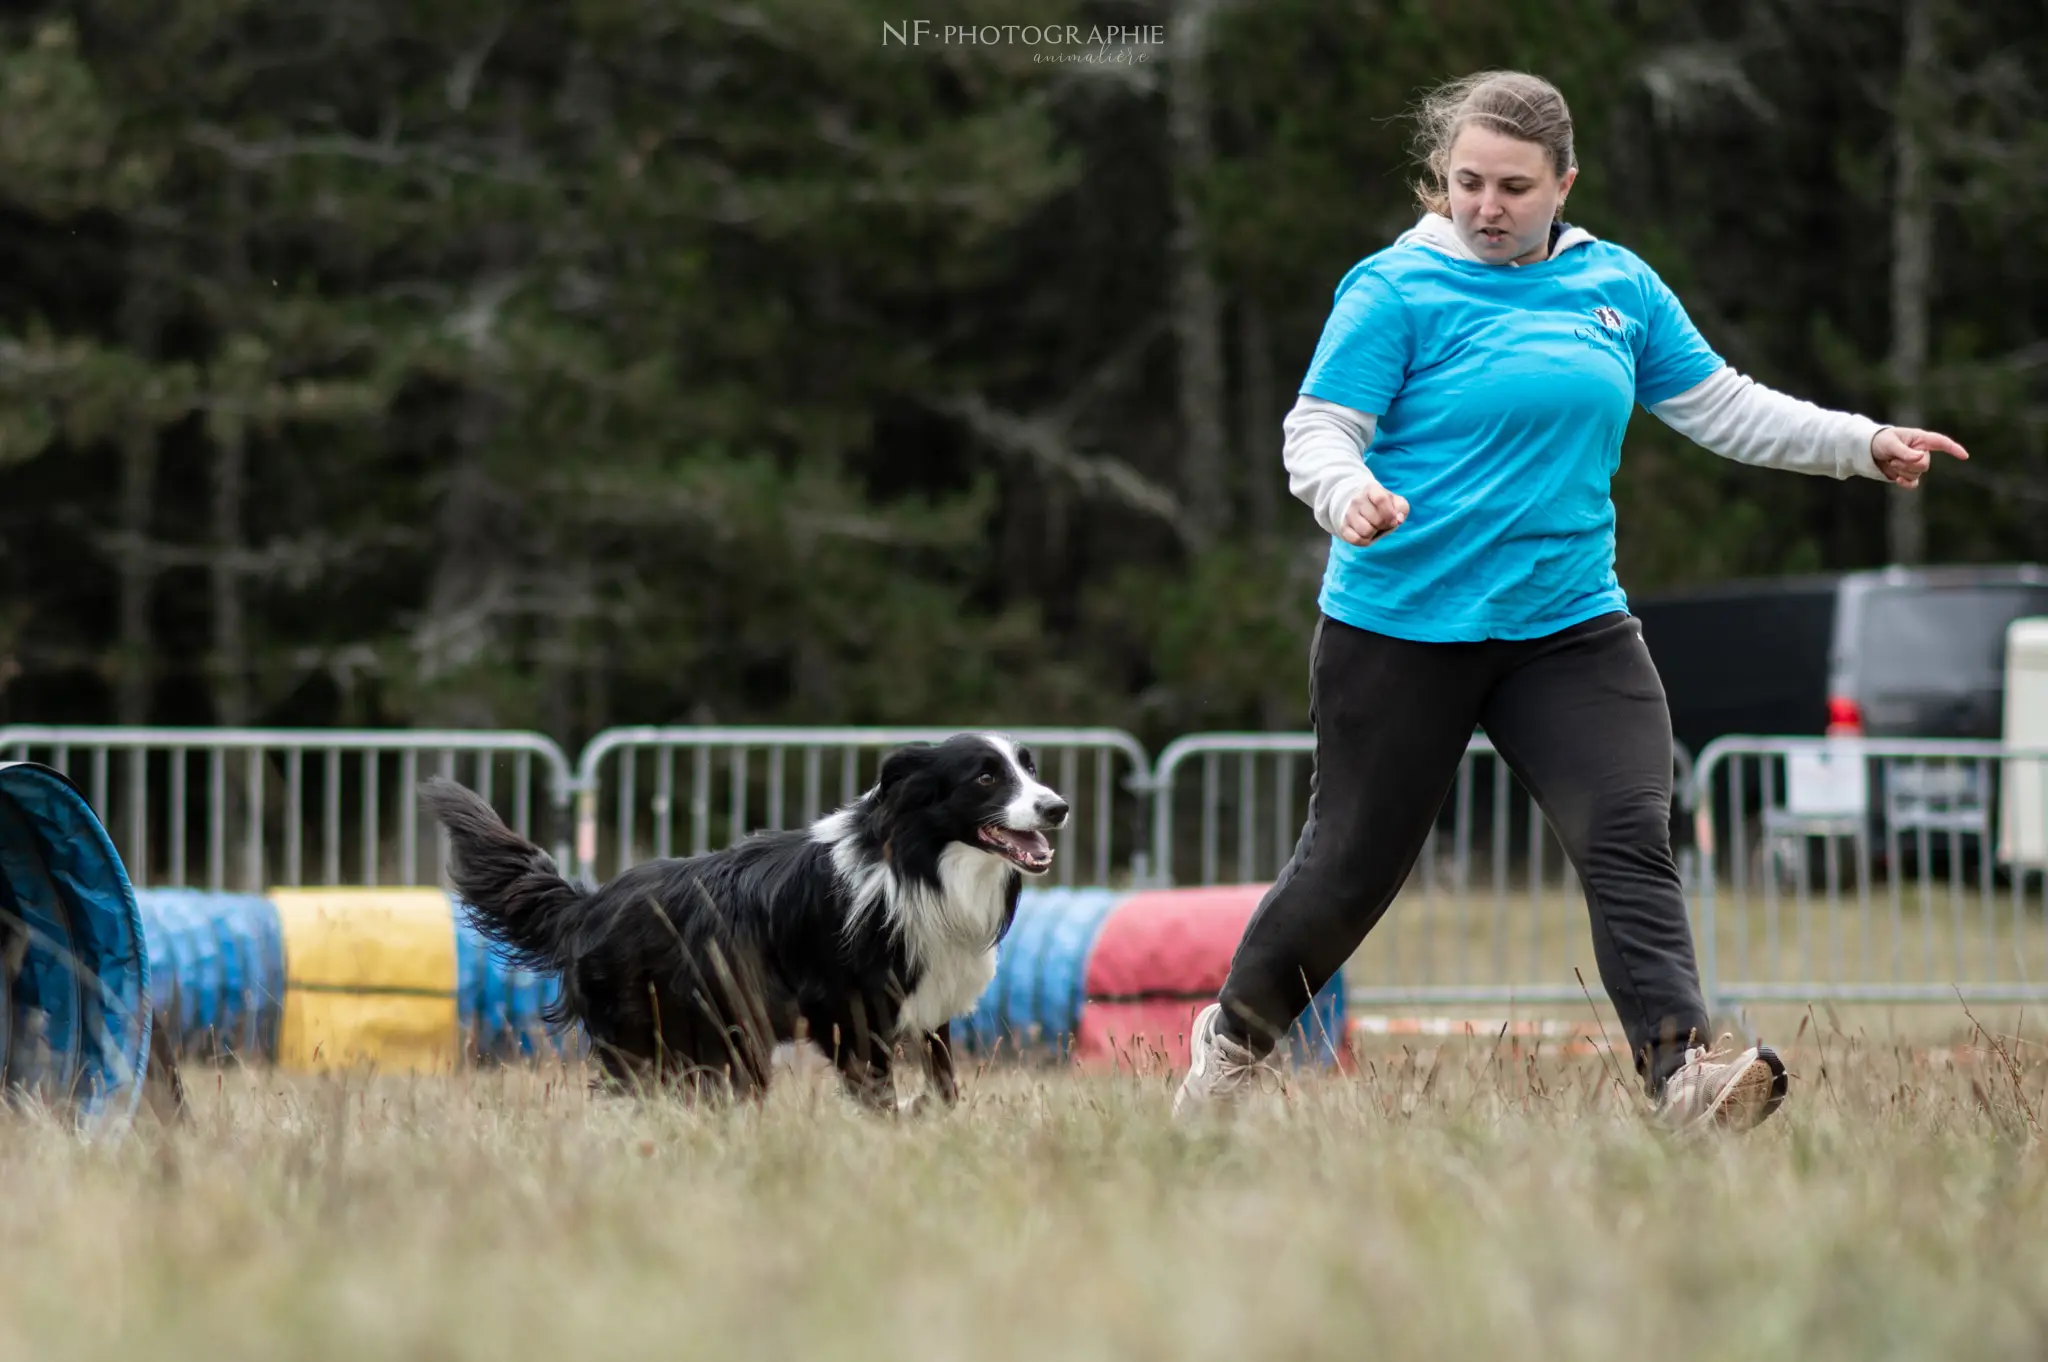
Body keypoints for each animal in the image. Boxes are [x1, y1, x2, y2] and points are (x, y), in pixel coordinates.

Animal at [425, 733, 1081, 1105]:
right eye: (987, 776)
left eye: (1029, 769)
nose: (1059, 807)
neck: (917, 863)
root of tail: (591, 902)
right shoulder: (850, 1017)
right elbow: (879, 1097)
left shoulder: (927, 1011)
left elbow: (944, 1091)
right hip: (667, 1033)